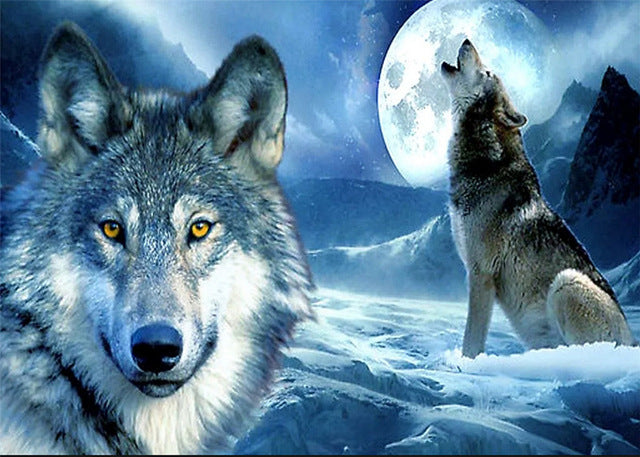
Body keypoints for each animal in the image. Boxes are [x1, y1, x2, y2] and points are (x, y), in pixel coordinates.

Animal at [440, 39, 636, 359]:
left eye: (488, 72)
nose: (467, 40)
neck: (485, 164)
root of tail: (632, 341)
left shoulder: (481, 273)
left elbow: (472, 340)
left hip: (566, 282)